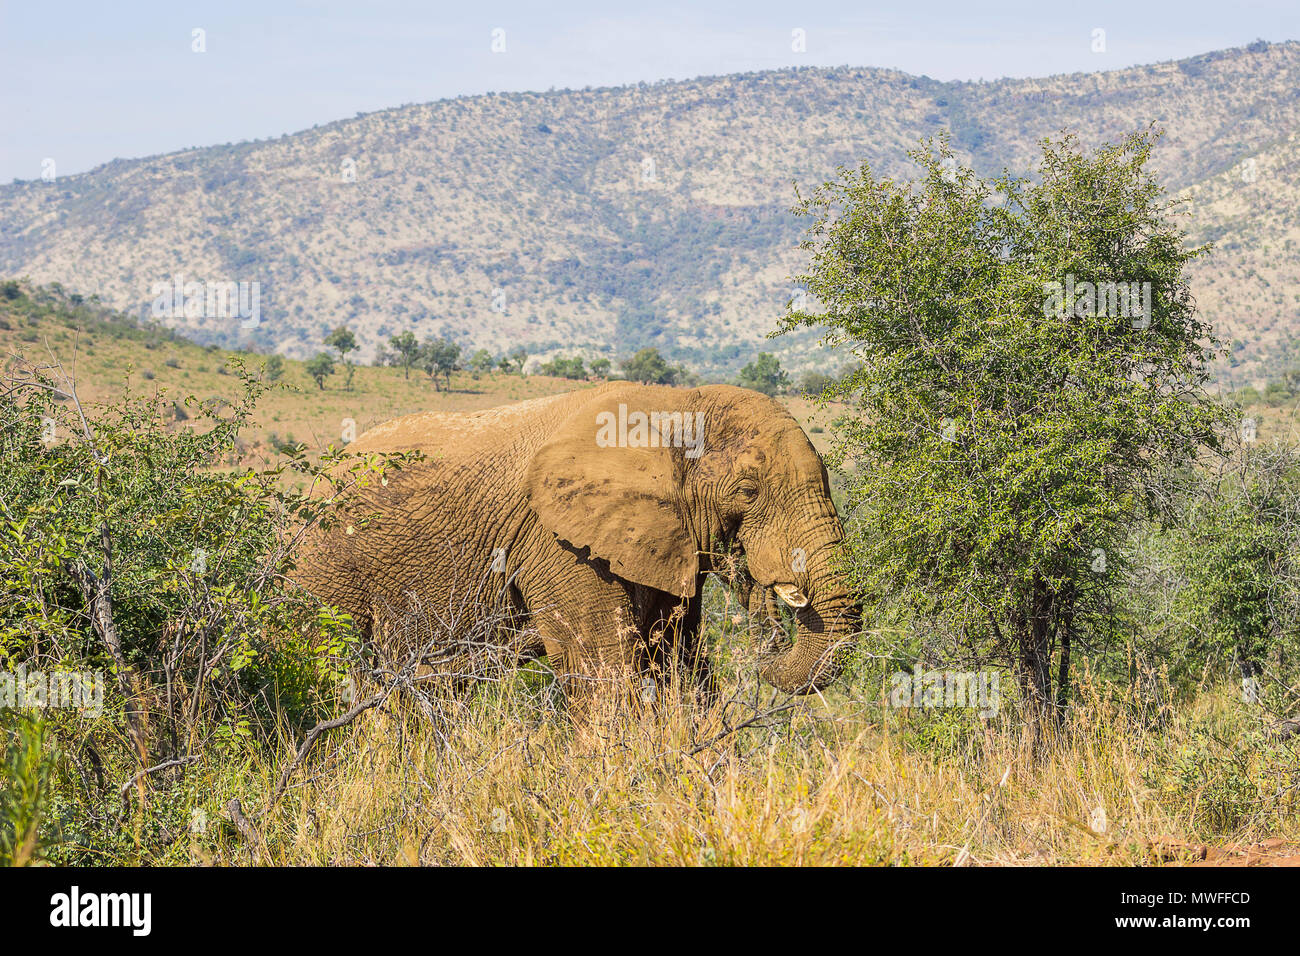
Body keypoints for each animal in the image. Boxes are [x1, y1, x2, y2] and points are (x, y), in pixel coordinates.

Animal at [295, 382, 857, 712]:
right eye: (747, 491)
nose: (765, 603)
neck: (674, 402)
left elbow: (679, 659)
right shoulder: (557, 541)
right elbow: (602, 668)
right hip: (326, 574)